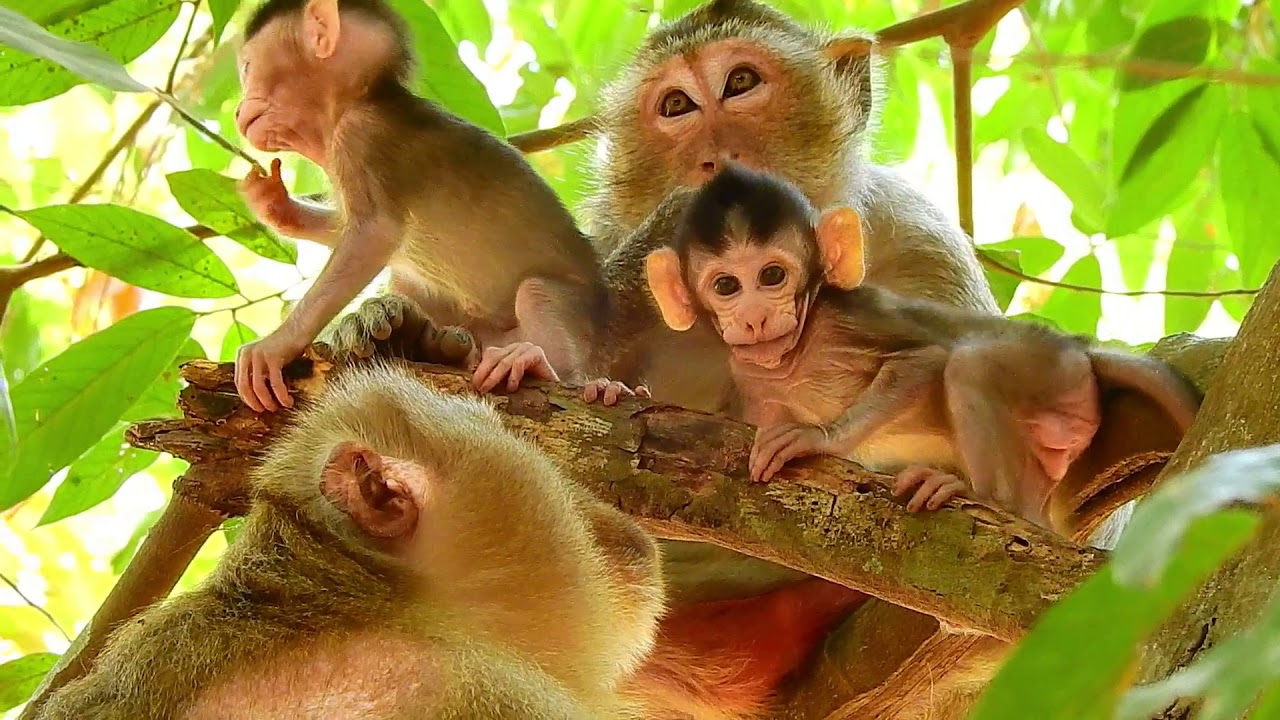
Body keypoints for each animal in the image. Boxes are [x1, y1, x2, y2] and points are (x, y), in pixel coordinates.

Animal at [232, 0, 610, 414]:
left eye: (247, 66)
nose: (237, 111)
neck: (360, 101)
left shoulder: (362, 137)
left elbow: (374, 235)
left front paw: (274, 347)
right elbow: (353, 228)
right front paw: (275, 204)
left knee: (537, 294)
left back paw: (540, 364)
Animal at [644, 164, 1203, 533]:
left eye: (772, 276)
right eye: (726, 286)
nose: (756, 316)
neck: (793, 358)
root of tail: (1079, 348)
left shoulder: (841, 321)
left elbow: (922, 361)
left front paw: (816, 438)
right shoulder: (750, 381)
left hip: (1051, 374)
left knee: (968, 367)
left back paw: (989, 500)